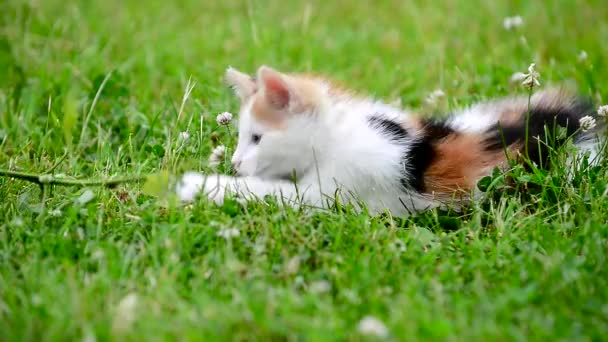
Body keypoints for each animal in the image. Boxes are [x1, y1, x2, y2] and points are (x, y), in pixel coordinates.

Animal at [176, 65, 604, 215]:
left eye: (257, 138)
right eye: (241, 139)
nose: (235, 163)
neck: (337, 135)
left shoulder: (335, 192)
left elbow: (269, 191)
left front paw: (200, 186)